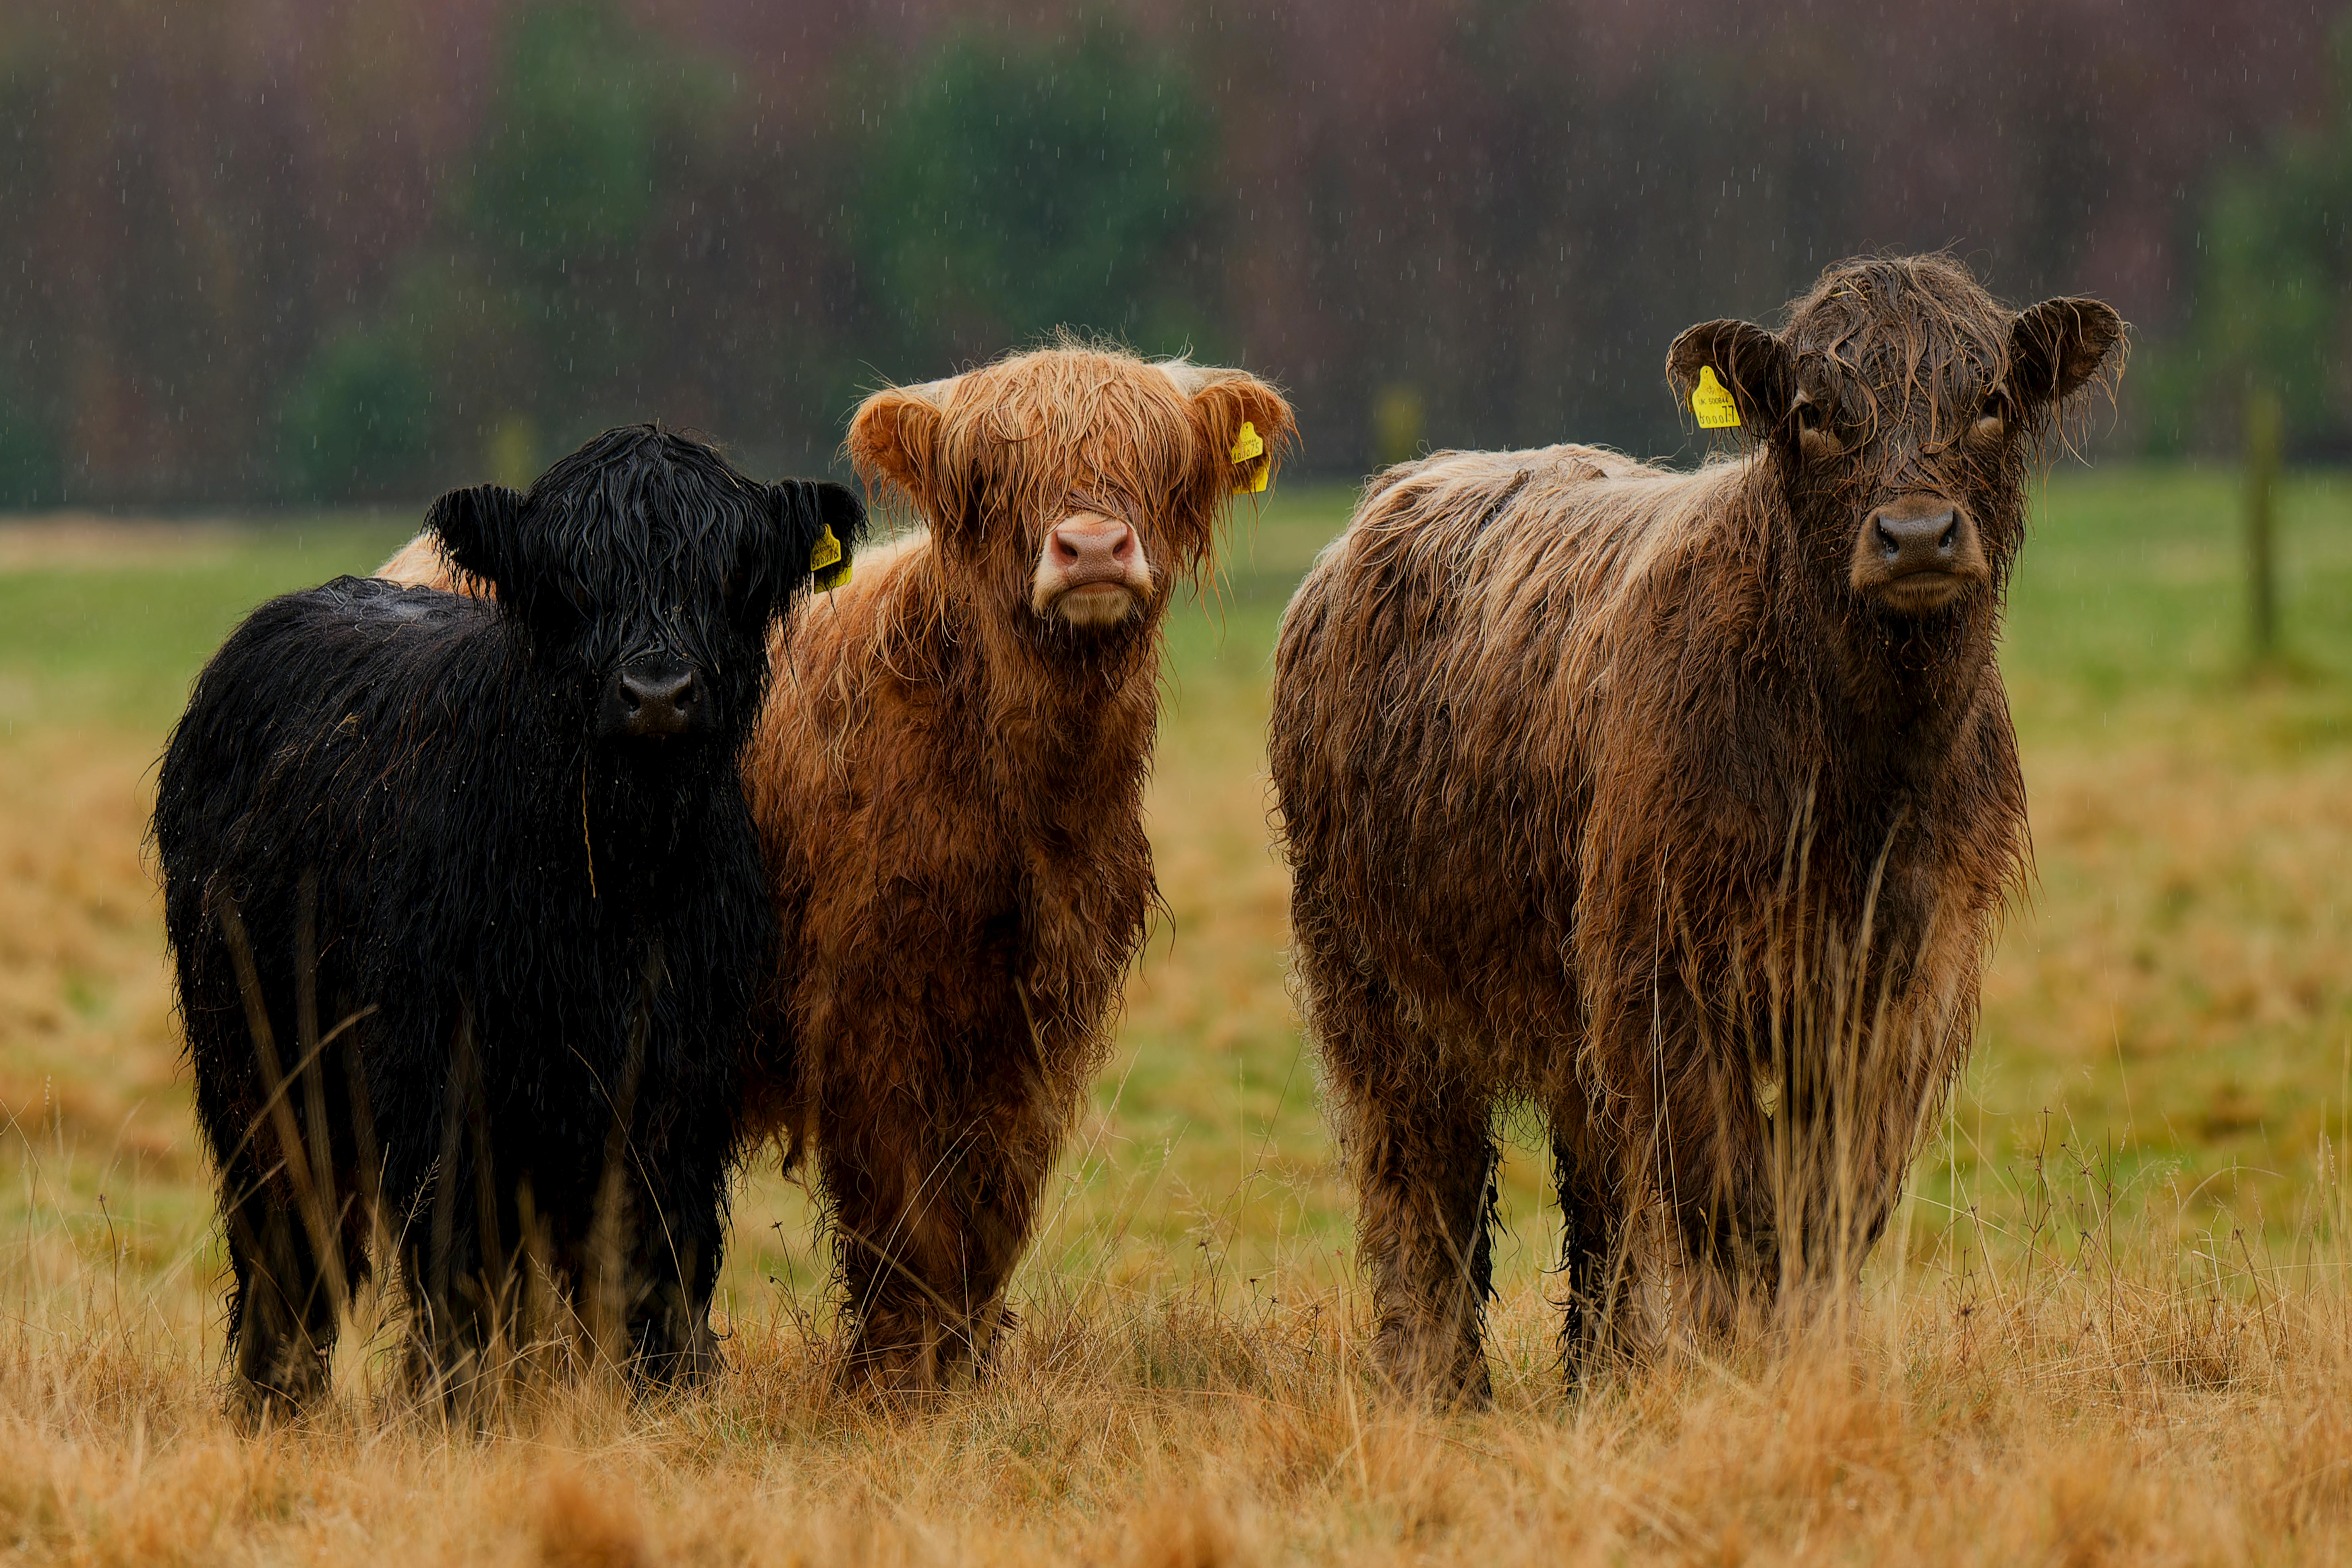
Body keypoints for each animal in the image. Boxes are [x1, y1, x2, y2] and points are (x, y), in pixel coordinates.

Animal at [155, 424, 863, 1419]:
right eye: (569, 579)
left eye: (729, 572)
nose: (657, 692)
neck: (615, 885)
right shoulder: (447, 1086)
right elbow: (461, 1265)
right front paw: (462, 1408)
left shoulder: (678, 1085)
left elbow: (659, 1255)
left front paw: (661, 1397)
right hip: (253, 1064)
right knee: (286, 1239)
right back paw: (276, 1402)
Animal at [1267, 255, 2123, 1400]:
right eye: (1812, 414)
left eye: (1988, 401)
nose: (1914, 536)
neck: (1859, 775)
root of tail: (1395, 497)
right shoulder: (1664, 975)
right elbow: (1730, 1201)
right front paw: (1739, 1368)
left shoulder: (1901, 984)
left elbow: (1830, 1204)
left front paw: (1806, 1360)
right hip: (1373, 981)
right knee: (1418, 1174)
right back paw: (1436, 1383)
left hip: (1568, 1004)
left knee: (1598, 1185)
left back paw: (1609, 1374)